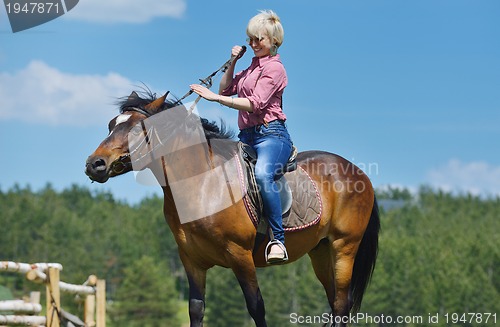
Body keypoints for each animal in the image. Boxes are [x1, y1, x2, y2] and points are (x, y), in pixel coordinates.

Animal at [86, 90, 378, 327]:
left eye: (137, 129)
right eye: (111, 125)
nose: (94, 164)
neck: (203, 183)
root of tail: (359, 173)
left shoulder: (240, 255)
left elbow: (256, 307)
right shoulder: (191, 261)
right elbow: (196, 310)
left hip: (344, 247)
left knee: (341, 304)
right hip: (320, 250)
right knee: (334, 302)